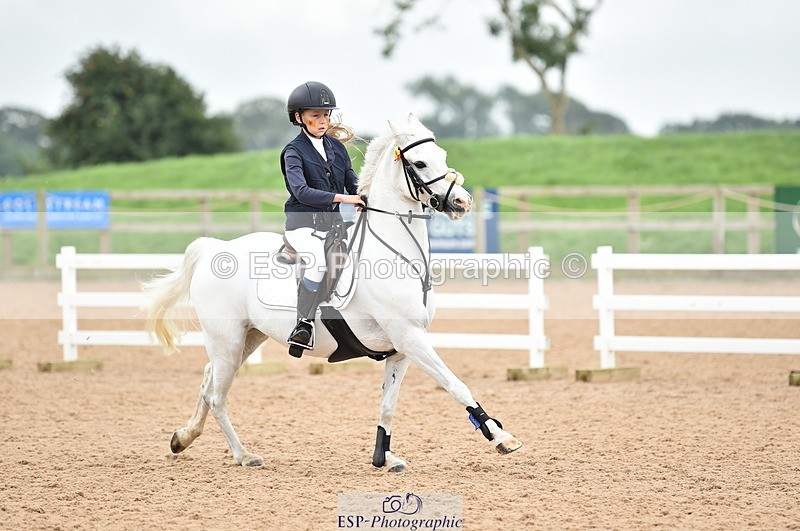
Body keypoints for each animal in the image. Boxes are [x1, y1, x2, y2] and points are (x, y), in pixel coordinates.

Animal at [143, 113, 522, 471]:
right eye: (419, 164)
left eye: (440, 155)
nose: (462, 202)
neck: (394, 252)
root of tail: (214, 248)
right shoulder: (410, 337)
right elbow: (456, 384)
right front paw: (501, 437)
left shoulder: (401, 347)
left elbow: (388, 405)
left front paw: (384, 457)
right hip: (228, 340)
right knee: (218, 396)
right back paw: (243, 455)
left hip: (248, 338)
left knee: (209, 381)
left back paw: (183, 437)